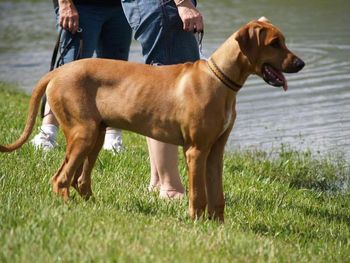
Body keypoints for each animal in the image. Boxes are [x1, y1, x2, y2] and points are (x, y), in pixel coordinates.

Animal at [0, 17, 304, 223]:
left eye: (283, 41)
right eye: (274, 44)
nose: (300, 64)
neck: (220, 79)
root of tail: (58, 72)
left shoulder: (215, 150)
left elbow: (217, 195)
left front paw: (218, 226)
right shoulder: (196, 151)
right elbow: (198, 194)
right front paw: (195, 222)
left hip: (94, 135)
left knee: (79, 180)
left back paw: (93, 206)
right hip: (83, 133)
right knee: (61, 178)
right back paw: (68, 208)